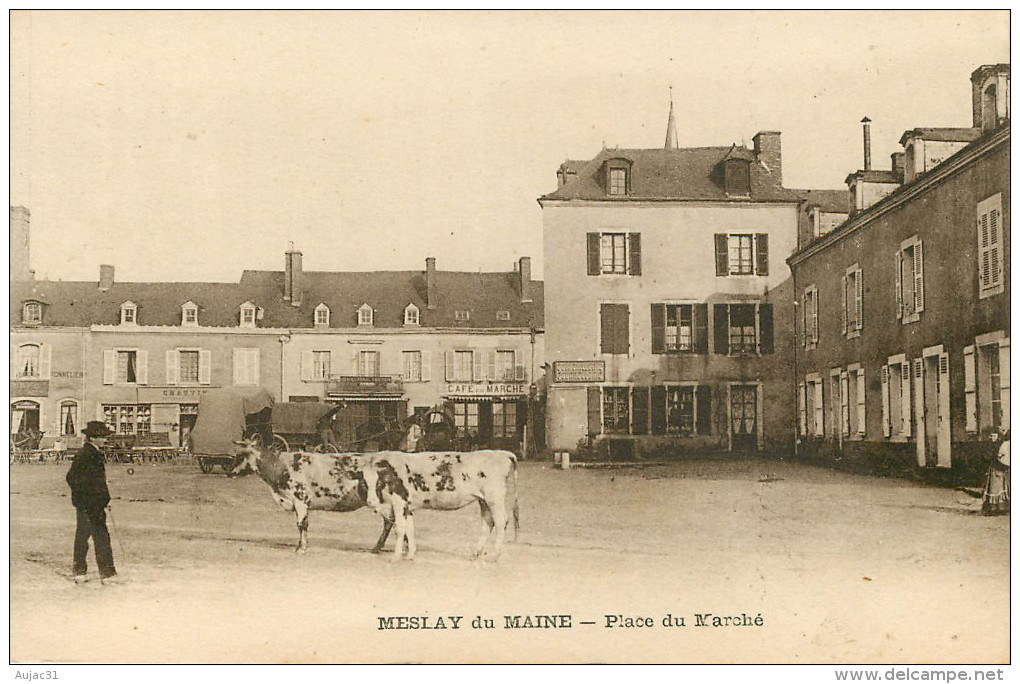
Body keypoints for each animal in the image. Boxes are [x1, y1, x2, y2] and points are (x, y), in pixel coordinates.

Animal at [229, 438, 391, 554]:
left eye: (241, 455)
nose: (229, 472)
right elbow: (302, 524)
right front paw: (299, 546)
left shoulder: (300, 499)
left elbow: (302, 524)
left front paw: (302, 549)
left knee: (391, 522)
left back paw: (379, 548)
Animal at [365, 448, 518, 562]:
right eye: (364, 482)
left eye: (378, 482)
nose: (370, 501)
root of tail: (502, 453)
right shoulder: (407, 507)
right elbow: (410, 529)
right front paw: (409, 555)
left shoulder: (399, 502)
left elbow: (400, 529)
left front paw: (395, 557)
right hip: (484, 500)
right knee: (488, 522)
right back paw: (475, 553)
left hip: (495, 498)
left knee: (501, 521)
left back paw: (494, 556)